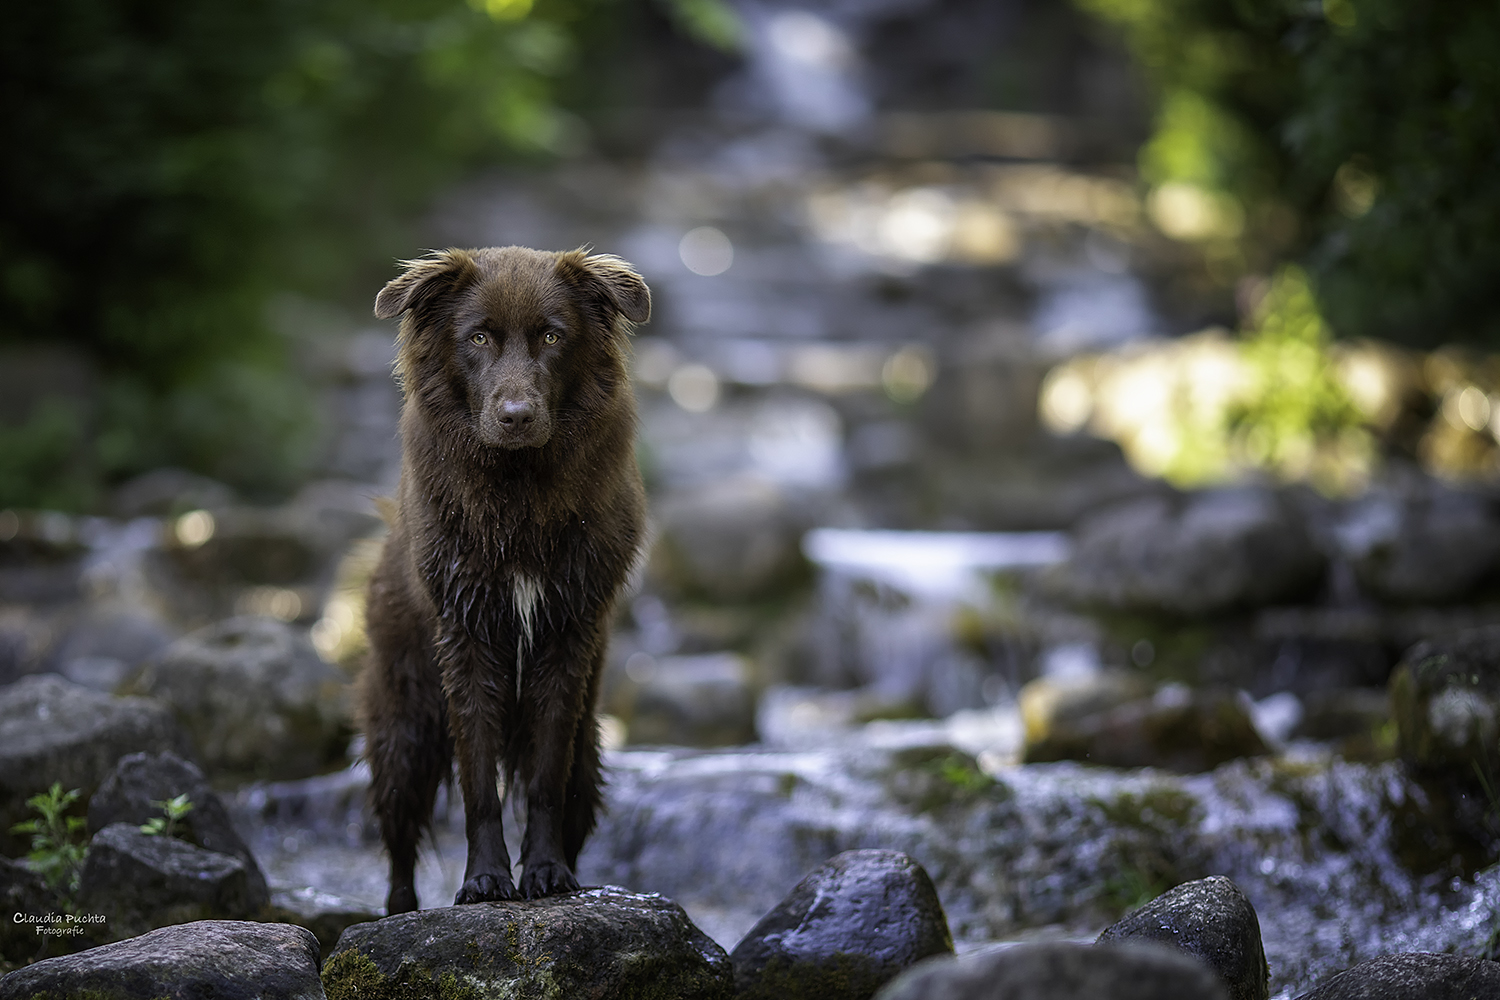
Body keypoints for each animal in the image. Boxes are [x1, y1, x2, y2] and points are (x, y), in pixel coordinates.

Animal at [363, 245, 651, 911]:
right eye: (478, 337)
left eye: (551, 335)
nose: (516, 417)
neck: (518, 493)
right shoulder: (466, 639)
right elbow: (478, 784)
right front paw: (486, 880)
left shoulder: (566, 638)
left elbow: (544, 779)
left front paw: (545, 872)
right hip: (404, 733)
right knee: (399, 841)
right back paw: (399, 909)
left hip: (589, 750)